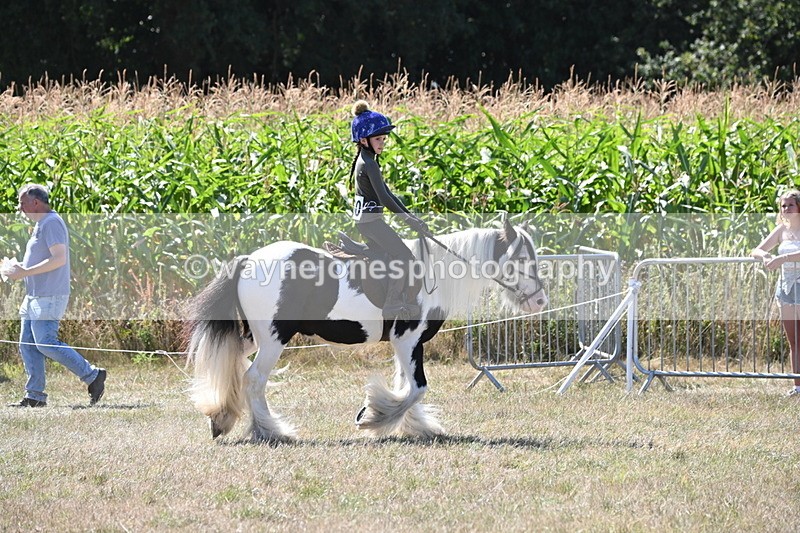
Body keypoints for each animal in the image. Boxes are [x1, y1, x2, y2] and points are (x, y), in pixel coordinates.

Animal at [185, 218, 548, 442]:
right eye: (521, 260)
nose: (541, 300)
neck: (434, 274)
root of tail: (248, 259)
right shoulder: (408, 339)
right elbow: (417, 387)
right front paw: (373, 417)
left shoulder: (406, 344)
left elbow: (406, 385)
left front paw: (416, 426)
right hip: (274, 340)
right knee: (254, 379)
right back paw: (271, 431)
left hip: (254, 337)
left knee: (235, 364)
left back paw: (221, 418)